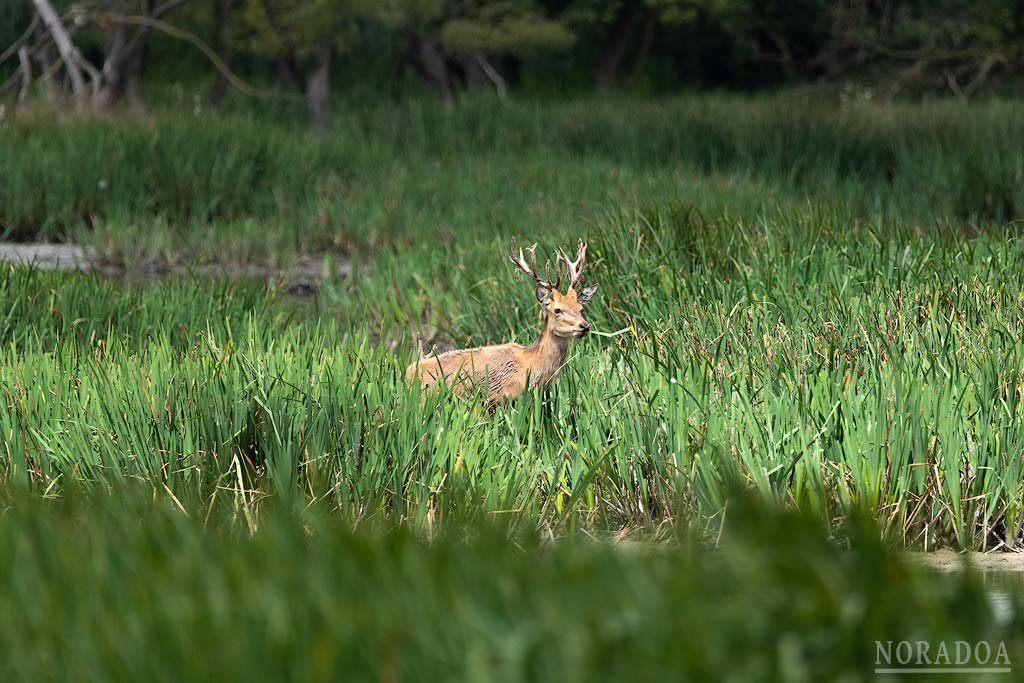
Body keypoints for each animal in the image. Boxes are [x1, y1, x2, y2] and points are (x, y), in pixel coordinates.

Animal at [407, 239, 598, 403]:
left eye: (581, 309)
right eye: (557, 310)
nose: (584, 326)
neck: (530, 364)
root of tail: (406, 372)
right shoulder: (496, 398)